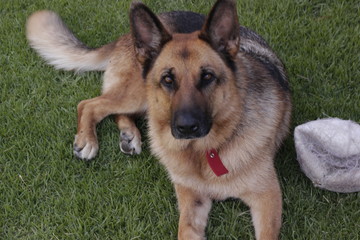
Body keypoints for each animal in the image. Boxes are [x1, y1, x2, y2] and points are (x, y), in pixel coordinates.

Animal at [26, 0, 290, 238]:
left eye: (207, 76)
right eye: (168, 79)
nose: (186, 128)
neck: (203, 152)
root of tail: (126, 37)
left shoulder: (267, 198)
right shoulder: (191, 199)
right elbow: (184, 232)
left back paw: (128, 136)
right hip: (138, 94)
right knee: (90, 104)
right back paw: (88, 141)